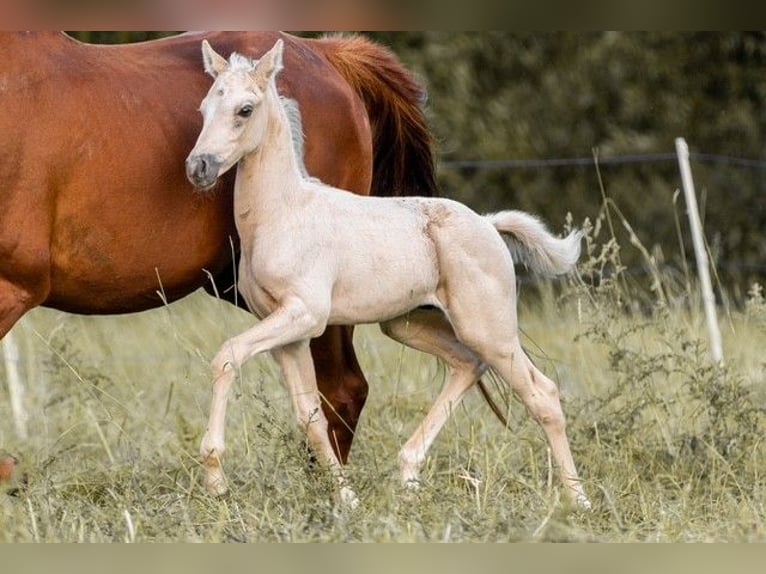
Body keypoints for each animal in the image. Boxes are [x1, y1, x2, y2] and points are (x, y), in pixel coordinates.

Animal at [186, 38, 592, 510]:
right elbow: (310, 417)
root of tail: (489, 225)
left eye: (245, 109)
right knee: (467, 364)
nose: (198, 167)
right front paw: (347, 500)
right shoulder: (288, 334)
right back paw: (409, 473)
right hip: (407, 324)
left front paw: (215, 478)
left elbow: (227, 355)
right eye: (203, 108)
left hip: (489, 328)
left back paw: (578, 499)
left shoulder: (305, 314)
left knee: (541, 393)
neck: (284, 213)